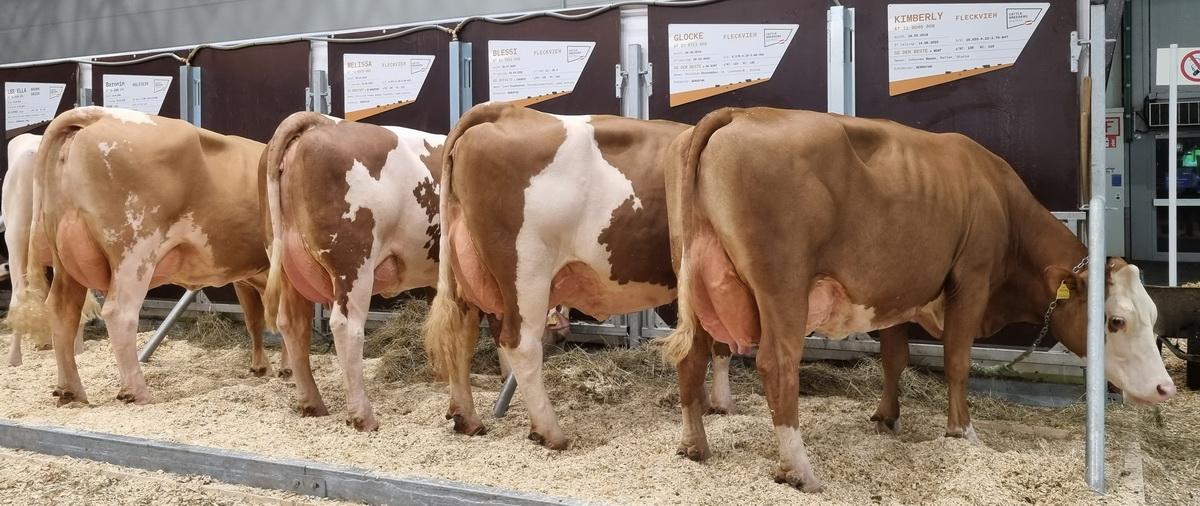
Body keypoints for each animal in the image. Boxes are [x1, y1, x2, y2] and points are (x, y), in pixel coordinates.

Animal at [7, 107, 278, 407]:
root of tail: (97, 115)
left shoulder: (249, 276)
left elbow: (258, 320)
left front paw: (265, 368)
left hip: (65, 256)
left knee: (62, 311)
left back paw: (71, 390)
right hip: (135, 252)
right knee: (119, 313)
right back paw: (136, 391)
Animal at [424, 100, 729, 448]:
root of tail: (503, 111)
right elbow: (719, 342)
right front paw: (721, 403)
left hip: (468, 270)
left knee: (460, 336)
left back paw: (467, 418)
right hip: (526, 269)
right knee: (520, 344)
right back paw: (550, 432)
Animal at [662, 106, 1176, 489]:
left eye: (1154, 316)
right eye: (1115, 320)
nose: (1165, 389)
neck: (1001, 202)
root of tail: (740, 112)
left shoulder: (895, 291)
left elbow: (895, 357)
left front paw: (886, 419)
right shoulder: (971, 280)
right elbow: (957, 361)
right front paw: (963, 432)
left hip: (694, 279)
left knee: (690, 356)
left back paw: (693, 446)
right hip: (782, 285)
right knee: (775, 364)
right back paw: (799, 470)